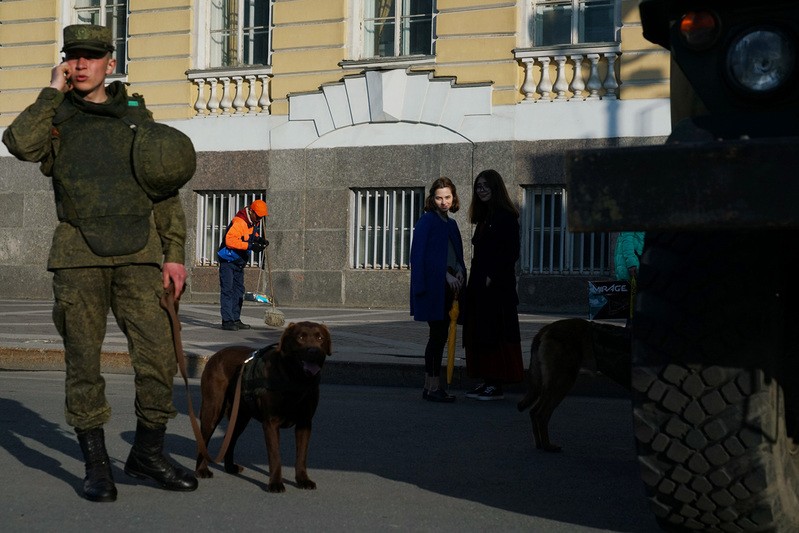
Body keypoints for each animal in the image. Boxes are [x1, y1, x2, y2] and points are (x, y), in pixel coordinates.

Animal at [196, 320, 332, 490]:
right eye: (300, 337)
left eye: (320, 338)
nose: (313, 351)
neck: (295, 380)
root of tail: (215, 356)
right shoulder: (271, 422)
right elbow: (275, 456)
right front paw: (275, 484)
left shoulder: (305, 422)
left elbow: (301, 455)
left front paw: (302, 480)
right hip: (213, 408)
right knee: (204, 439)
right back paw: (202, 470)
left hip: (240, 417)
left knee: (230, 438)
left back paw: (230, 467)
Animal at [520, 318, 632, 450]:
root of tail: (546, 328)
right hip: (563, 382)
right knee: (541, 414)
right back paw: (547, 446)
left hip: (554, 384)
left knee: (534, 412)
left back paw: (540, 444)